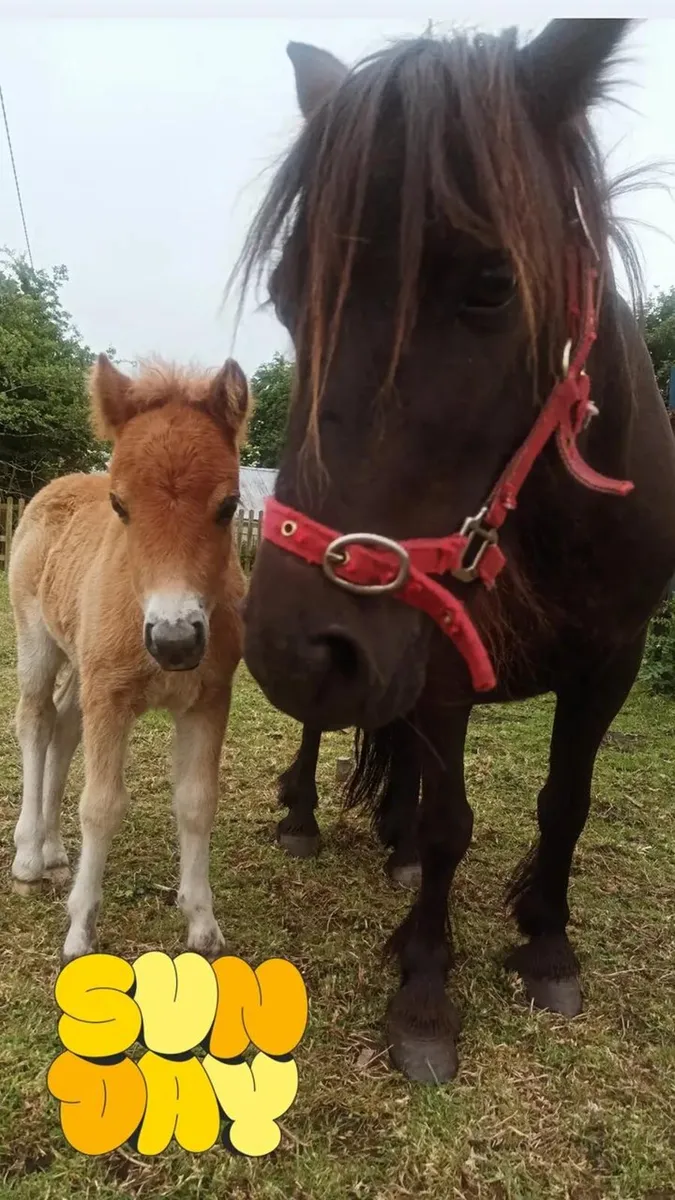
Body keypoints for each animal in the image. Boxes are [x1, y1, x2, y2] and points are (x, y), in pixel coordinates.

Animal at [9, 354, 250, 963]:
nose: (174, 640)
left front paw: (202, 924)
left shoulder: (208, 699)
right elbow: (101, 805)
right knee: (35, 720)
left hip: (83, 664)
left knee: (64, 725)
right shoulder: (110, 695)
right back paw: (28, 854)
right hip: (37, 642)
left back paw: (53, 850)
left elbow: (196, 801)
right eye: (121, 506)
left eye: (229, 506)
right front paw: (79, 933)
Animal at [236, 21, 675, 1082]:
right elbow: (448, 824)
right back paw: (306, 817)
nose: (293, 650)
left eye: (490, 285)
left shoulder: (610, 661)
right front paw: (425, 994)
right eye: (286, 291)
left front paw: (546, 944)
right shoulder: (432, 660)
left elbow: (565, 802)